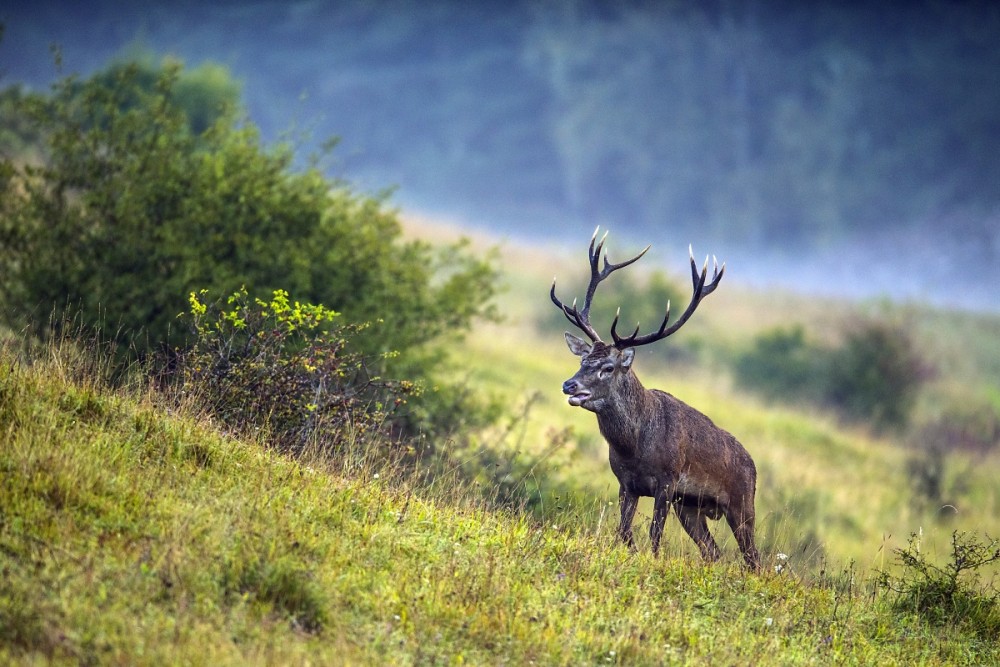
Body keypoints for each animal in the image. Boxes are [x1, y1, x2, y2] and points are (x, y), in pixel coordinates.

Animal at [556, 228, 756, 568]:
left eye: (608, 368)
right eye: (583, 361)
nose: (569, 385)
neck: (633, 447)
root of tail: (754, 466)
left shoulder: (667, 481)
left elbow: (654, 536)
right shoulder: (626, 483)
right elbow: (624, 532)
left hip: (743, 506)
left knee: (755, 560)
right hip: (690, 506)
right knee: (713, 551)